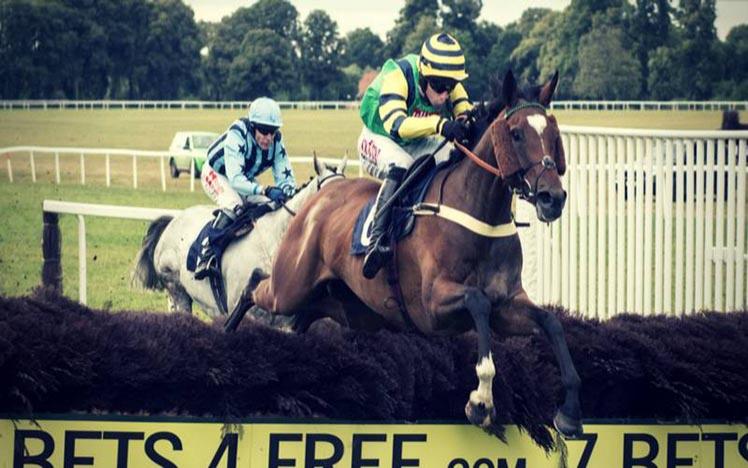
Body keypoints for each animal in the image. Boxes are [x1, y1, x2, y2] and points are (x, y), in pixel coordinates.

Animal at [247, 70, 584, 438]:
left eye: (553, 135)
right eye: (516, 134)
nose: (553, 197)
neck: (479, 212)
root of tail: (321, 195)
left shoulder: (507, 304)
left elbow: (550, 322)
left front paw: (569, 413)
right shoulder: (433, 304)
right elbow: (477, 302)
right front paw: (481, 401)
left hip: (349, 307)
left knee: (298, 318)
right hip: (290, 286)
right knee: (254, 285)